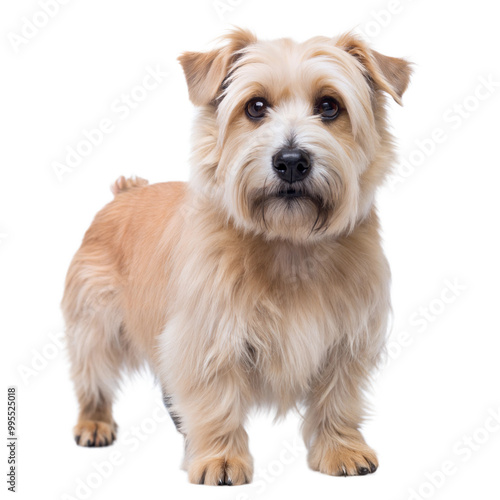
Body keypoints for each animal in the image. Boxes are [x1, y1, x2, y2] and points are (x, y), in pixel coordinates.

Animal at [61, 28, 410, 484]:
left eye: (329, 106)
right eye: (255, 106)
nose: (291, 161)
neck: (289, 243)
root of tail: (127, 192)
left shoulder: (348, 338)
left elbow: (339, 397)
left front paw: (341, 448)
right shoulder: (207, 335)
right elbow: (216, 399)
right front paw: (220, 458)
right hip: (95, 325)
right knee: (92, 376)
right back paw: (94, 422)